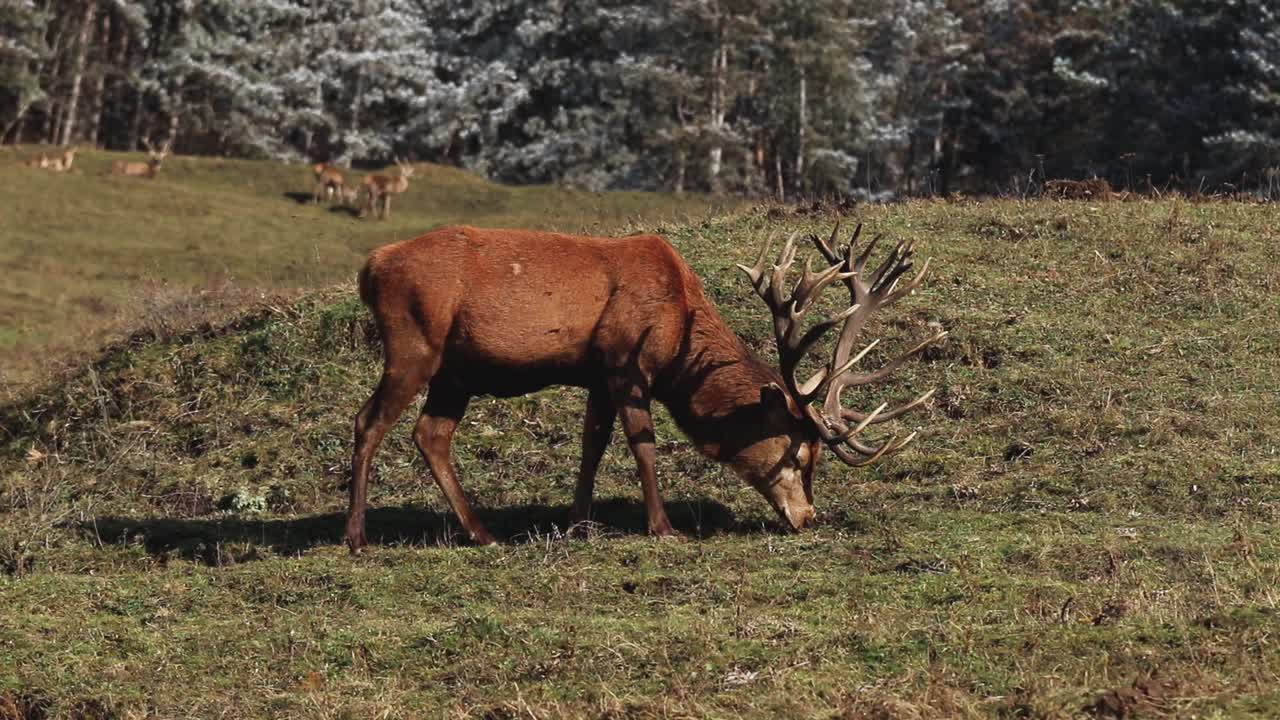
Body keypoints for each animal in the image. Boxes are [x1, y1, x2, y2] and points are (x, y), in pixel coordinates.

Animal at [344, 222, 944, 552]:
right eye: (798, 453)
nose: (808, 518)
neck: (679, 341)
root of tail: (370, 268)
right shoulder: (625, 363)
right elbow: (644, 444)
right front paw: (663, 527)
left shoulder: (596, 374)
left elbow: (592, 444)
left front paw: (578, 523)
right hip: (413, 345)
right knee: (368, 421)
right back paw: (357, 536)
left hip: (456, 372)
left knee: (430, 434)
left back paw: (482, 533)